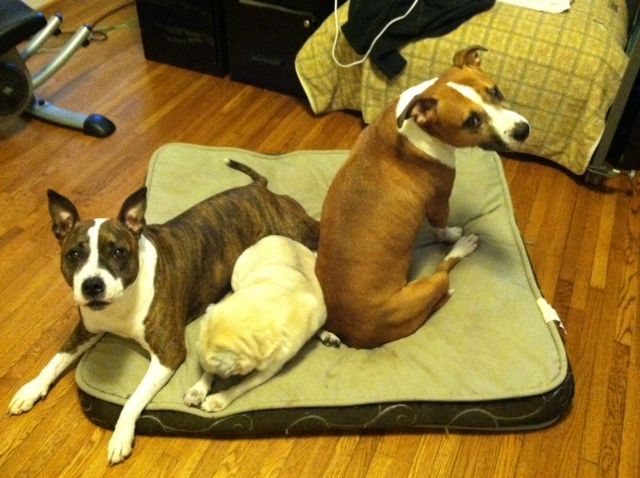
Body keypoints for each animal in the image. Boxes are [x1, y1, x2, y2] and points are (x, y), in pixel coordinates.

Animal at [182, 235, 338, 410]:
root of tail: (281, 237)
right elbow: (208, 370)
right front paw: (198, 389)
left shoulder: (270, 369)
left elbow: (241, 386)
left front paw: (218, 399)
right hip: (237, 275)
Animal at [316, 45, 528, 348]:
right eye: (472, 121)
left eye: (495, 91)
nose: (523, 130)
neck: (418, 125)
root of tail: (351, 333)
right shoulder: (439, 201)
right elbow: (440, 228)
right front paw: (451, 235)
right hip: (426, 287)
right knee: (442, 271)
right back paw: (462, 246)